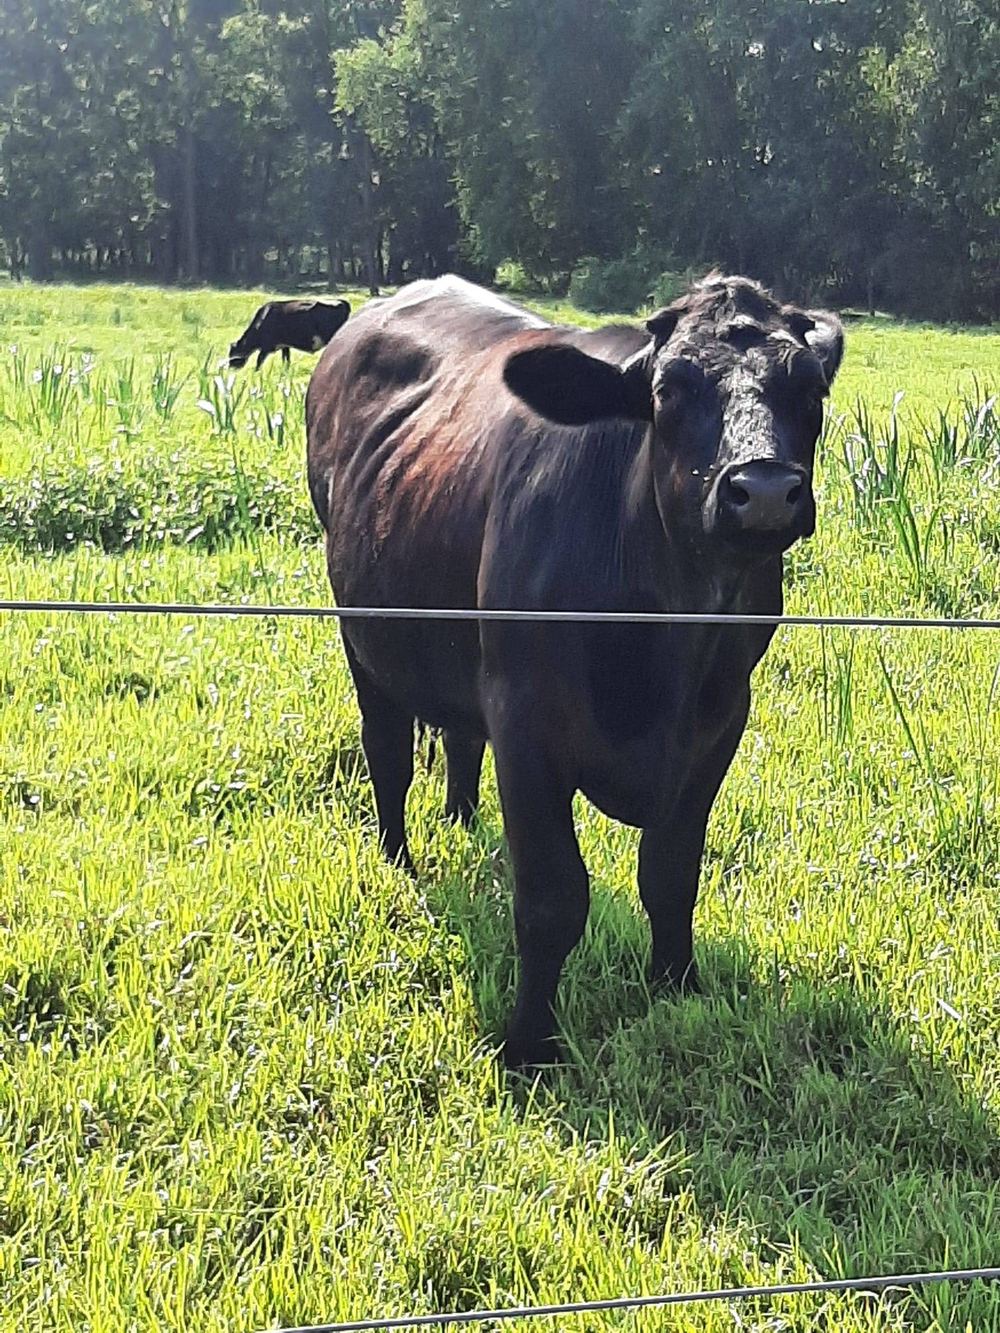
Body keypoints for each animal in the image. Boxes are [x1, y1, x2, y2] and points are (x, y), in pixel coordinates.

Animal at [305, 273, 844, 1069]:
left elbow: (671, 874)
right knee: (389, 752)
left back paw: (462, 818)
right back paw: (399, 858)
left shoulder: (719, 724)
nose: (767, 491)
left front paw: (676, 988)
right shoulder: (527, 723)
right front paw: (530, 1044)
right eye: (668, 387)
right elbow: (553, 899)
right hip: (363, 631)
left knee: (460, 735)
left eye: (807, 385)